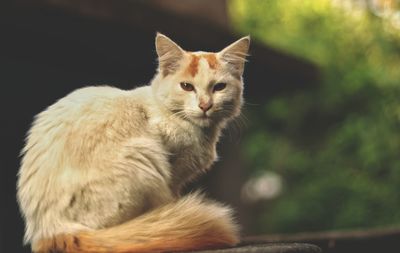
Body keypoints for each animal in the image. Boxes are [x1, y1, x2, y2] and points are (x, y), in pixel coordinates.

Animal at [18, 33, 250, 253]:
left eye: (219, 87)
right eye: (186, 86)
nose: (205, 105)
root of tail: (50, 231)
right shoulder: (172, 174)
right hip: (144, 157)